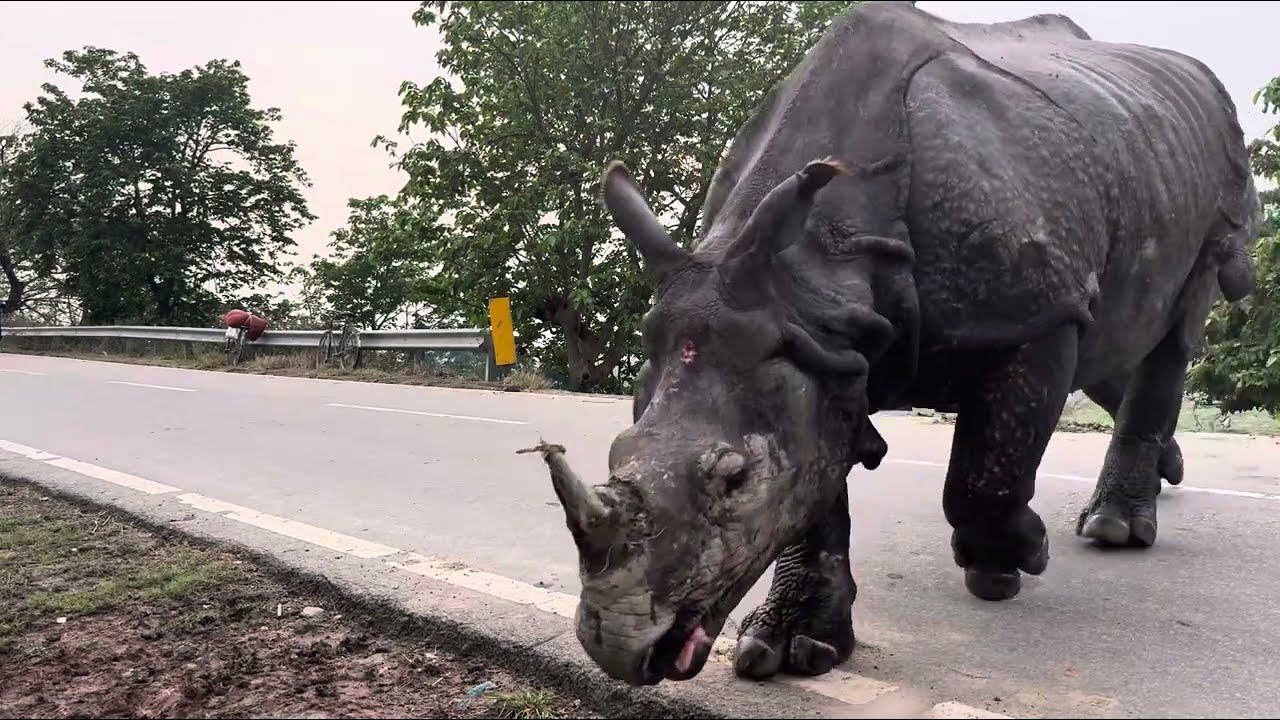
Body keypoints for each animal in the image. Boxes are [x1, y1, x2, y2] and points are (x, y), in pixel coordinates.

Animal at [525, 0, 1261, 688]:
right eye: (616, 451)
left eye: (736, 480)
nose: (618, 645)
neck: (818, 262)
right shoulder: (814, 340)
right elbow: (816, 484)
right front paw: (794, 647)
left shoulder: (1035, 309)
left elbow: (986, 473)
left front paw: (1015, 561)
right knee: (1117, 335)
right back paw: (1166, 473)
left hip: (1218, 179)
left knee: (1175, 328)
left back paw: (1112, 531)